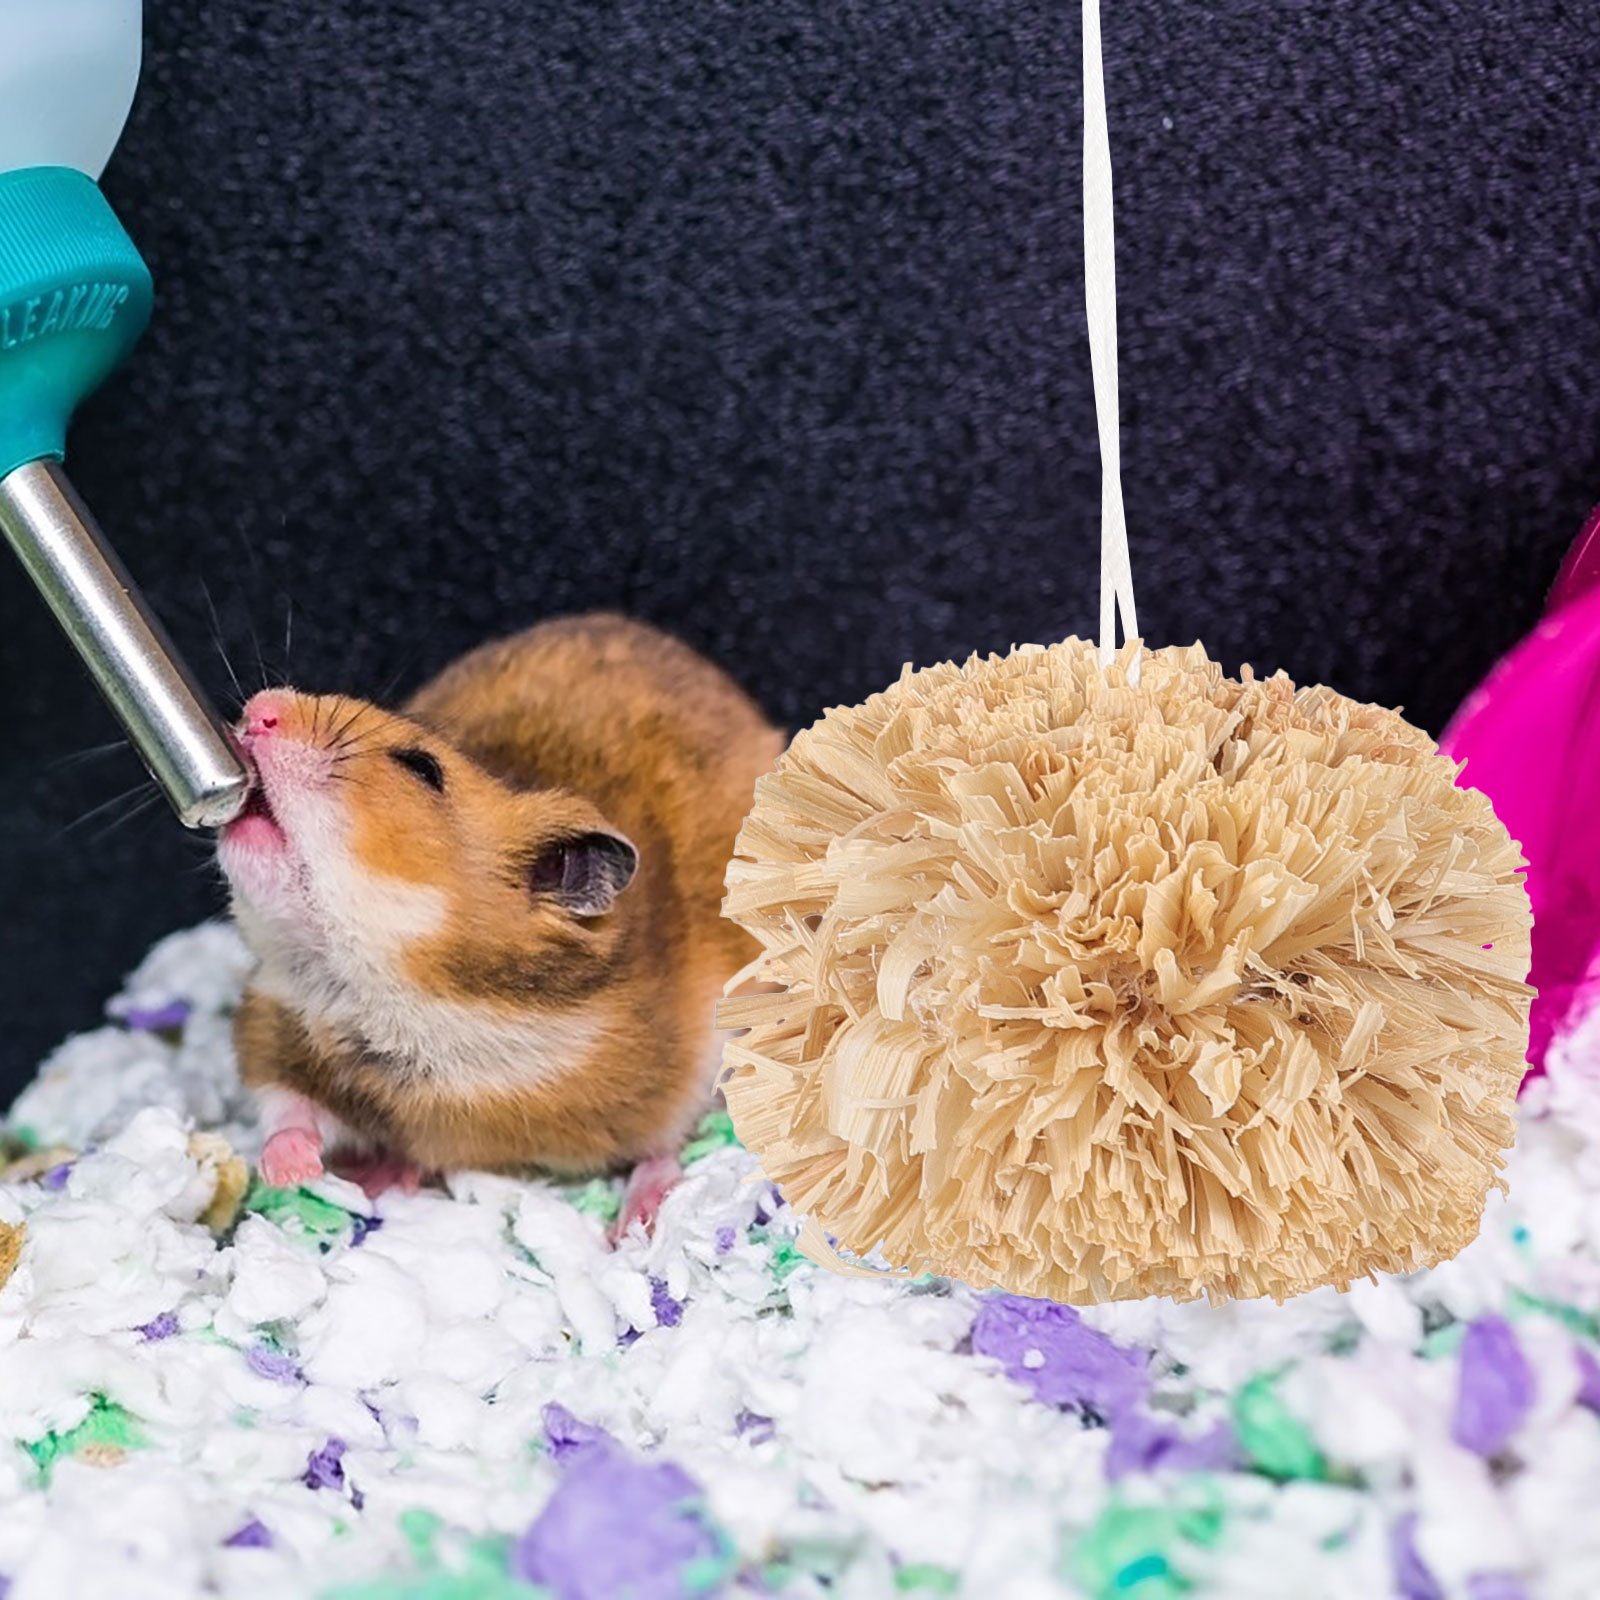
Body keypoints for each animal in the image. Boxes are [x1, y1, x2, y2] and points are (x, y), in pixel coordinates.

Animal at [217, 613, 781, 1231]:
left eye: (422, 767)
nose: (259, 711)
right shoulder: (274, 1025)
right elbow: (286, 1106)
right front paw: (291, 1171)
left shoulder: (691, 1053)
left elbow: (665, 1140)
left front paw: (638, 1225)